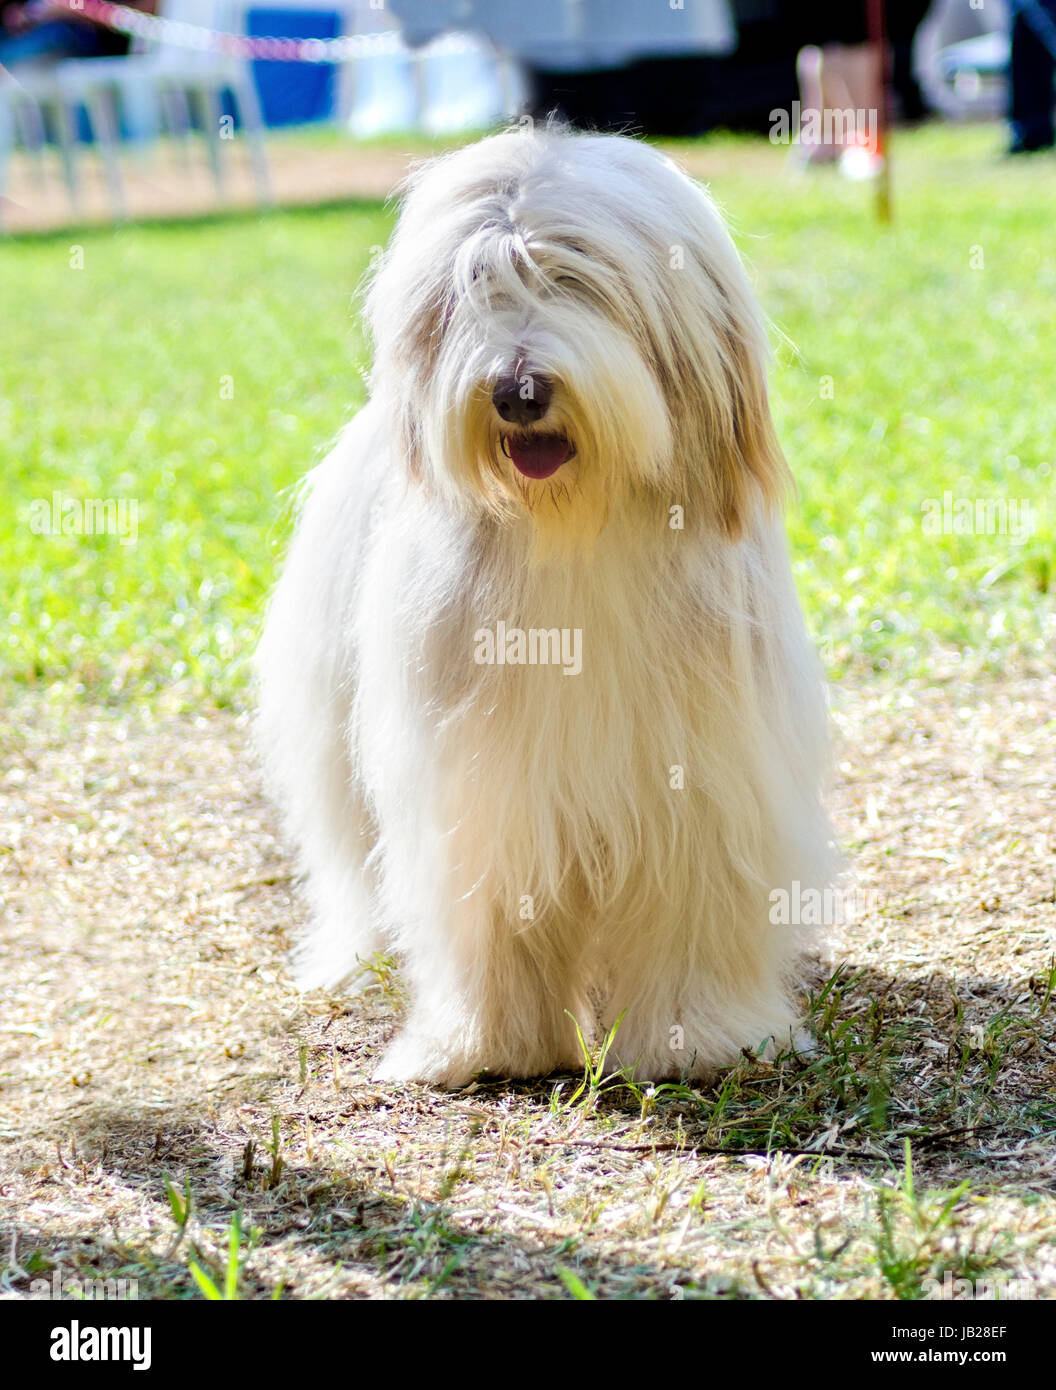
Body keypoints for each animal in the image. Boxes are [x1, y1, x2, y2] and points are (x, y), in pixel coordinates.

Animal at [255, 127, 833, 1084]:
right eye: (472, 291)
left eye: (578, 277)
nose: (516, 390)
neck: (573, 528)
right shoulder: (481, 789)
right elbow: (487, 915)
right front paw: (487, 1046)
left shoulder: (702, 776)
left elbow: (690, 904)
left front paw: (697, 1040)